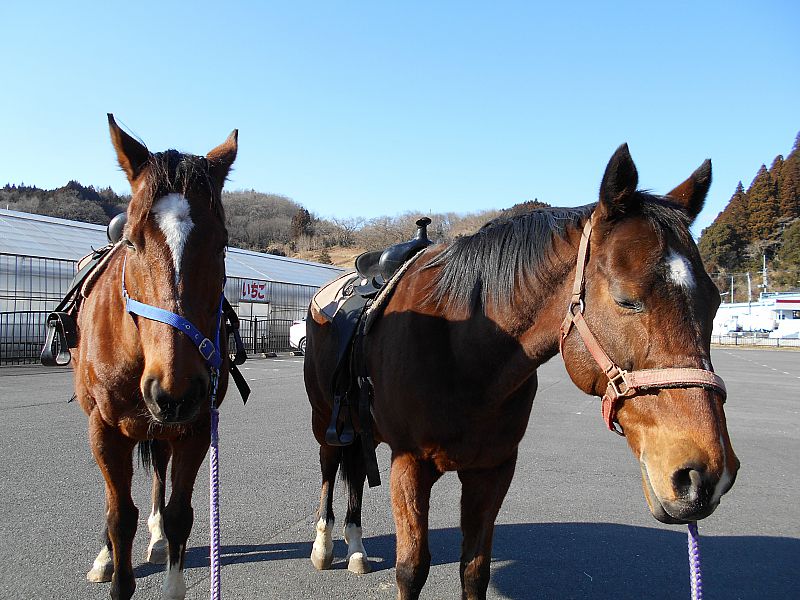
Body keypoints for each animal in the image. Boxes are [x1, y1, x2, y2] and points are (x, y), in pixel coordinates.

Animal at [71, 115, 237, 599]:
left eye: (221, 243)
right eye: (131, 242)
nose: (175, 390)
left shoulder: (195, 425)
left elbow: (180, 514)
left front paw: (167, 539)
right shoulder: (105, 428)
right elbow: (118, 516)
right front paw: (113, 562)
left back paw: (159, 536)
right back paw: (105, 555)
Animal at [304, 144, 740, 600]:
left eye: (714, 302)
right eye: (627, 299)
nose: (705, 474)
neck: (464, 350)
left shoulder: (493, 468)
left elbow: (474, 569)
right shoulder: (409, 462)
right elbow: (411, 569)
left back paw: (356, 547)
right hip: (327, 419)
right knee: (330, 467)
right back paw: (324, 545)